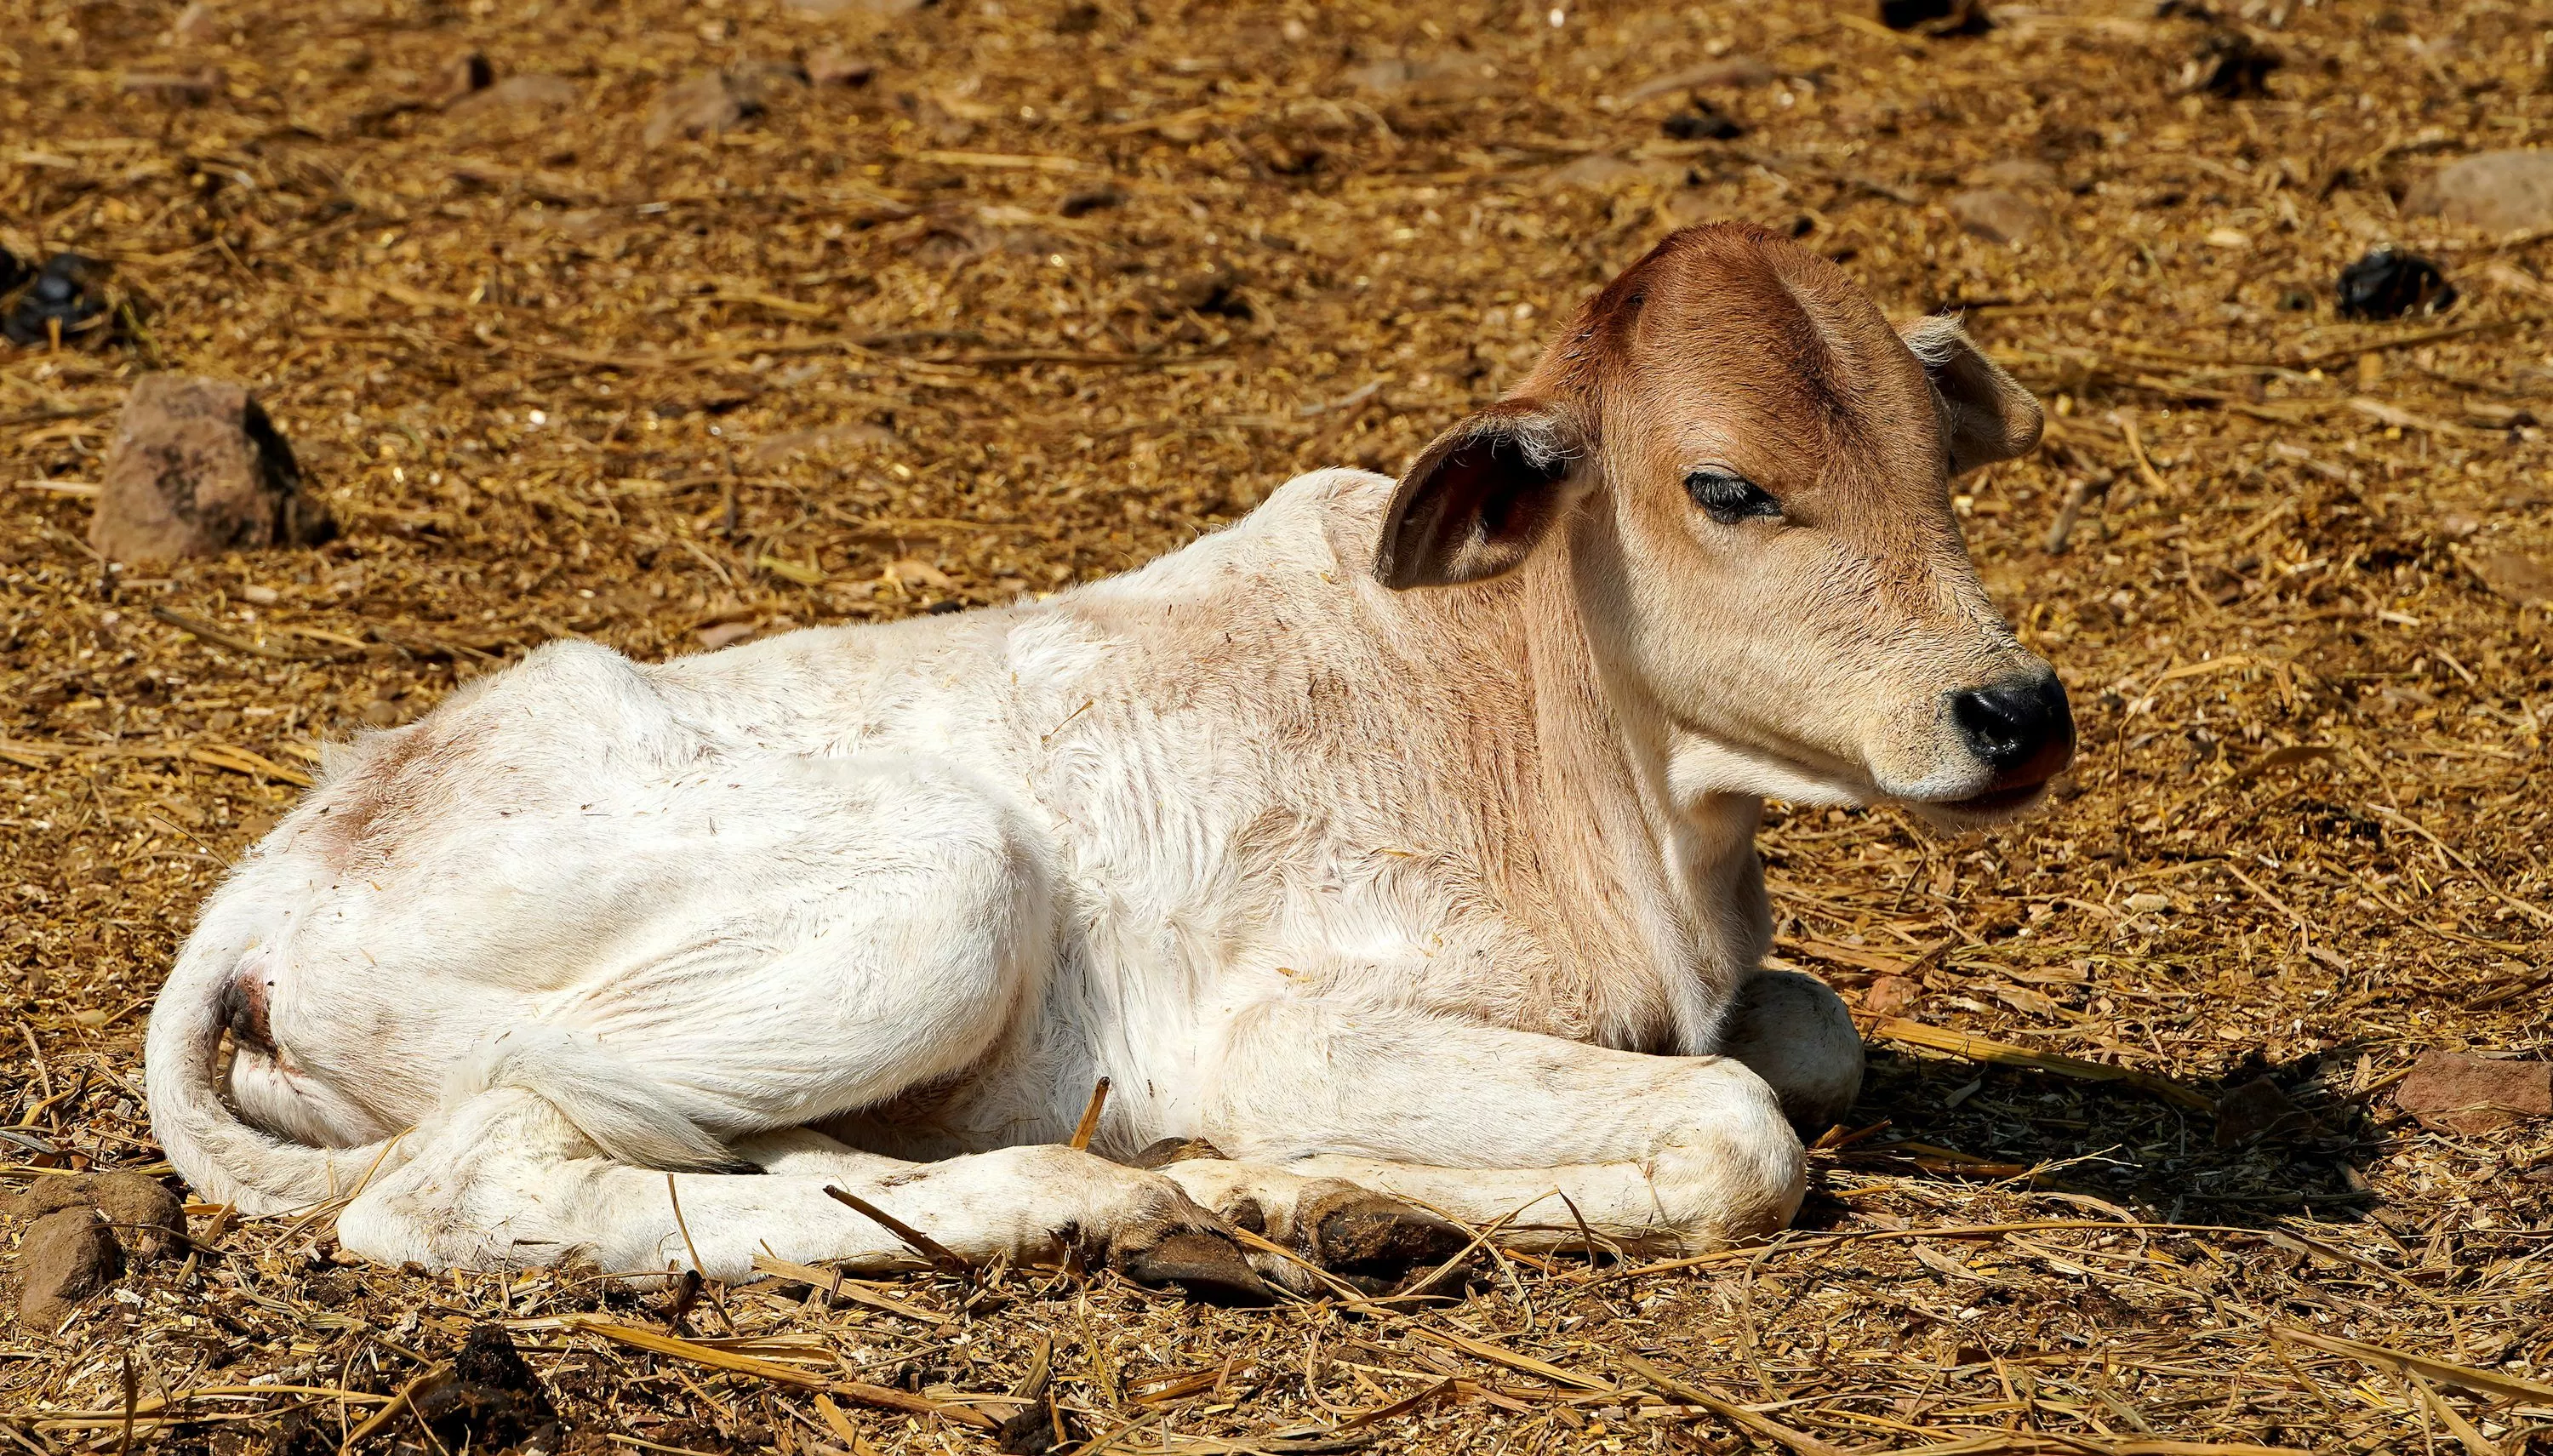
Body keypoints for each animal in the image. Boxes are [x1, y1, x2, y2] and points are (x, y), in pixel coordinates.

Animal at [144, 223, 2068, 1299]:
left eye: (1942, 458)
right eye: (1727, 485)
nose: (2016, 709)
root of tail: (280, 868)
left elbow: (1808, 1043)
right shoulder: (1302, 1020)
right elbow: (1745, 1128)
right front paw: (1307, 1187)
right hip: (939, 889)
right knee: (471, 1176)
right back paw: (1095, 1200)